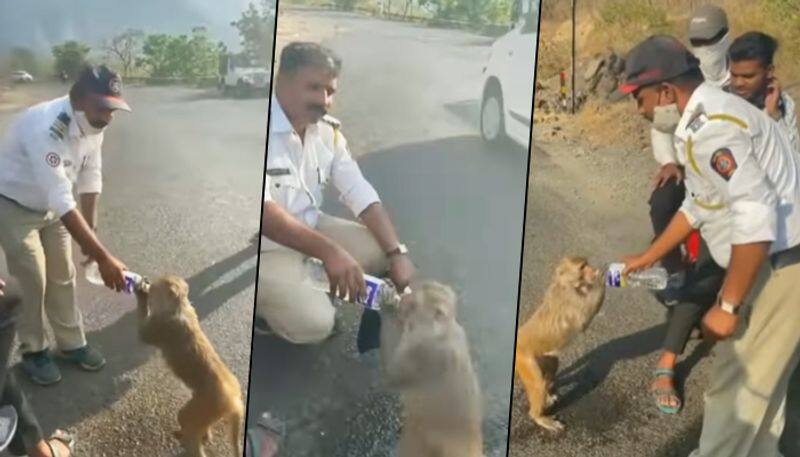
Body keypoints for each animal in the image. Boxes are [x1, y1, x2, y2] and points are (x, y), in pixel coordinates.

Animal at [135, 274, 244, 456]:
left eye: (156, 286)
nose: (149, 283)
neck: (179, 306)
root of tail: (233, 399)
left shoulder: (162, 325)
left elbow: (143, 334)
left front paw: (140, 294)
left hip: (203, 406)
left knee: (186, 420)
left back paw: (190, 441)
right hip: (206, 410)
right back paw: (199, 434)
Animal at [380, 282, 484, 456]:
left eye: (414, 304)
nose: (404, 300)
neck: (441, 330)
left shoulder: (425, 353)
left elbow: (394, 374)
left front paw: (385, 304)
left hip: (418, 442)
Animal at [516, 256, 604, 432]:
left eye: (587, 264)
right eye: (583, 267)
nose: (592, 269)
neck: (565, 283)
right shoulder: (570, 298)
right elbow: (584, 318)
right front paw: (602, 278)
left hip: (542, 355)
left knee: (551, 368)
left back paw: (548, 396)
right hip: (525, 360)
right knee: (538, 384)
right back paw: (539, 417)